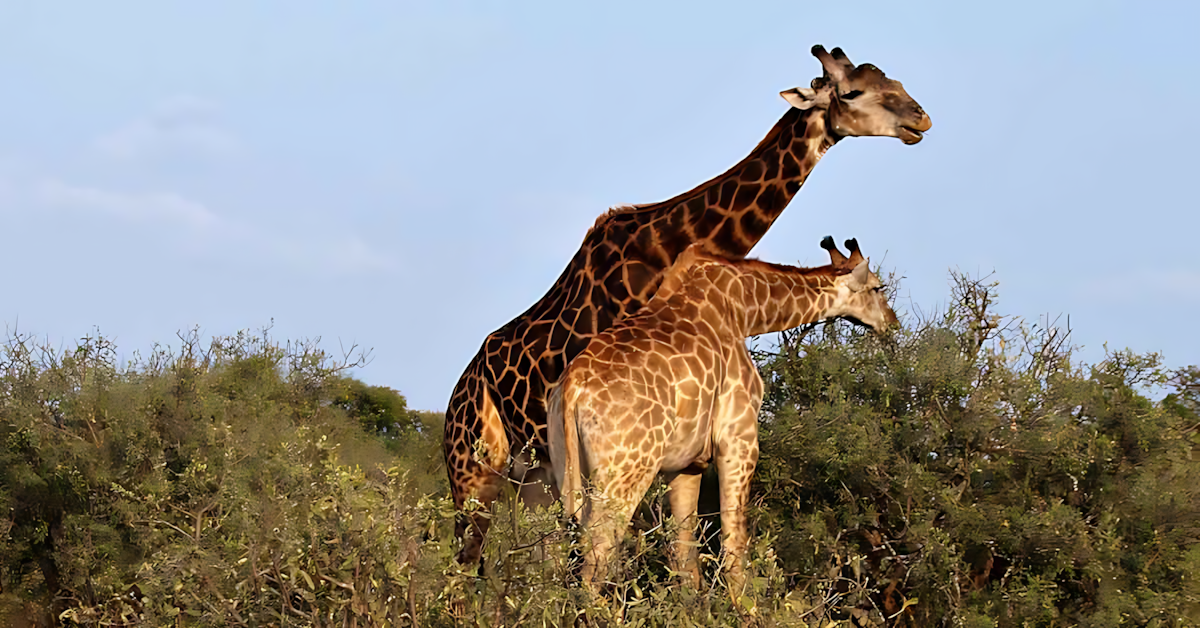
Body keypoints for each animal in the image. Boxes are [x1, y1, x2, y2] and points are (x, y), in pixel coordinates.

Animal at [547, 238, 902, 597]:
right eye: (877, 287)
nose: (892, 322)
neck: (745, 308)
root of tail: (573, 386)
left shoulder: (686, 463)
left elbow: (685, 556)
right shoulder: (738, 437)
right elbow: (734, 548)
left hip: (567, 472)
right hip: (627, 470)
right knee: (598, 553)